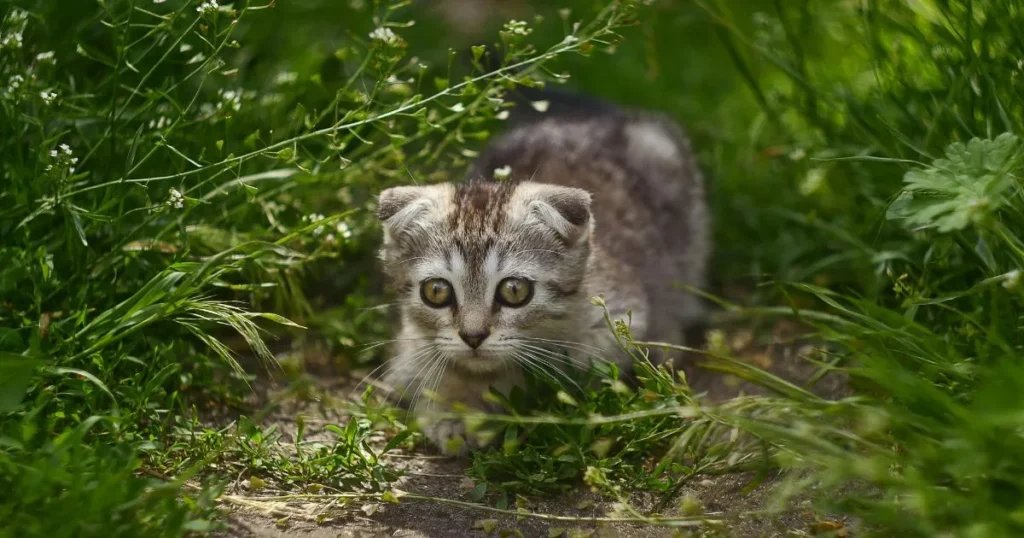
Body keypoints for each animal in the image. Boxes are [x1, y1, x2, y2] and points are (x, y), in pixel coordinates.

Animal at [376, 93, 712, 452]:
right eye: (437, 291)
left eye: (514, 291)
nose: (473, 337)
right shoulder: (410, 348)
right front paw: (454, 410)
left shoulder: (617, 323)